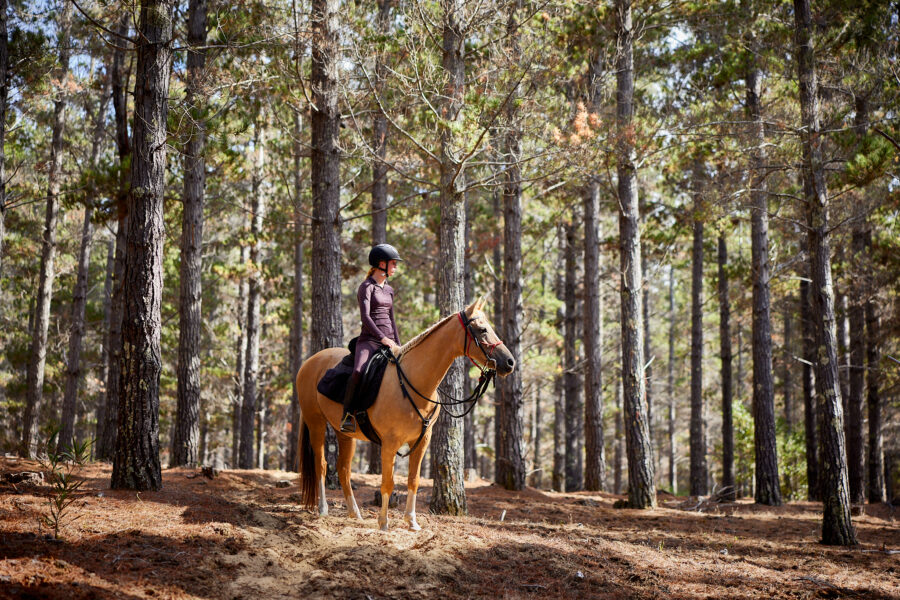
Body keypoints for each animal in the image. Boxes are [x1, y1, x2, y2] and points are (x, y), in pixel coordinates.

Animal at [295, 296, 515, 531]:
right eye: (482, 330)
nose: (510, 362)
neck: (413, 382)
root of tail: (309, 362)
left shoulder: (422, 441)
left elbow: (413, 480)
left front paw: (411, 521)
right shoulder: (390, 443)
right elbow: (388, 483)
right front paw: (383, 523)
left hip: (344, 433)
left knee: (343, 469)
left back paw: (355, 513)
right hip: (316, 423)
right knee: (321, 465)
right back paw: (323, 508)